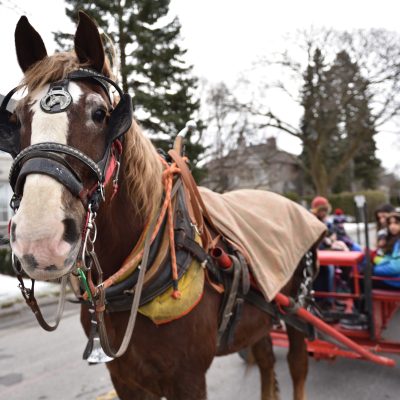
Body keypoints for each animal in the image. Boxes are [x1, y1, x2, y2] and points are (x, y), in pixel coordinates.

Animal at [5, 12, 318, 400]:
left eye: (99, 114)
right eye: (16, 119)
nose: (39, 239)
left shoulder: (188, 378)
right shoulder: (125, 378)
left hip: (298, 315)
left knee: (298, 366)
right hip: (258, 321)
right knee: (265, 362)